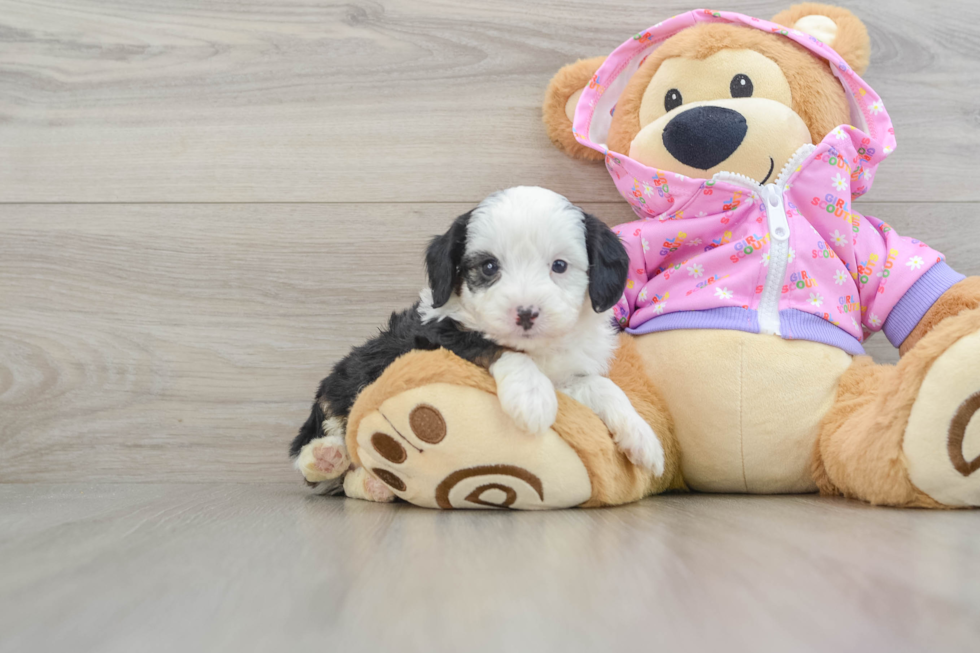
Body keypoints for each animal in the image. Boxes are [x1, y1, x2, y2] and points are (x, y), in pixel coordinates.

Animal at [288, 188, 664, 494]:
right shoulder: (438, 332)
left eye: (559, 265)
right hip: (343, 385)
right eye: (489, 267)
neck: (537, 348)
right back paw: (325, 456)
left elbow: (604, 387)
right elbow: (497, 347)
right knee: (324, 449)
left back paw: (372, 484)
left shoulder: (570, 374)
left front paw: (643, 438)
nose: (526, 313)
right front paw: (531, 397)